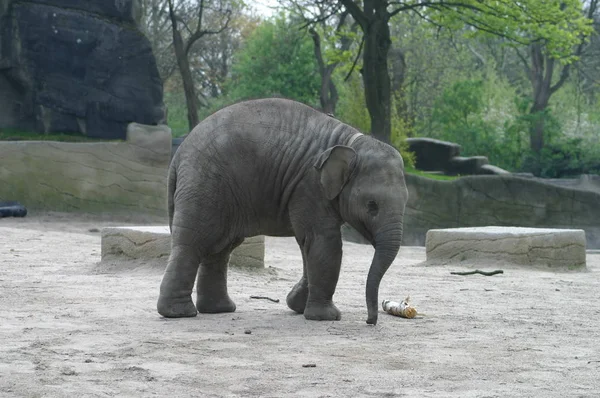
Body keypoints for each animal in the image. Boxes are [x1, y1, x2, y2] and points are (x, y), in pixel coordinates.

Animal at [156, 98, 408, 324]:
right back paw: (179, 313)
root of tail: (178, 156)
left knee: (220, 248)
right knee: (194, 243)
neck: (351, 141)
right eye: (372, 205)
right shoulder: (309, 185)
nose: (370, 320)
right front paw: (326, 317)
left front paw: (297, 306)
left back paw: (219, 309)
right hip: (205, 186)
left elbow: (307, 244)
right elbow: (323, 241)